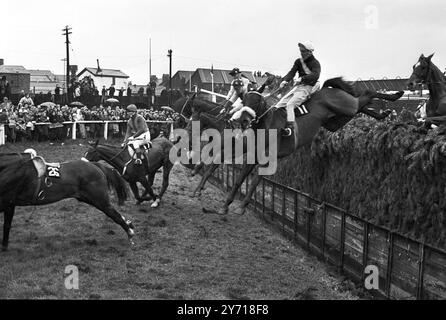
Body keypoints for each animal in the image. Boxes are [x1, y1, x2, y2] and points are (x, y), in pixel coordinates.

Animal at [0, 151, 134, 251]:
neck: (12, 168)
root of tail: (95, 165)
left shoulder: (8, 203)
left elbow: (6, 225)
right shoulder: (8, 205)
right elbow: (6, 225)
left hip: (100, 200)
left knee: (114, 214)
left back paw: (130, 232)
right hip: (88, 198)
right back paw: (129, 225)